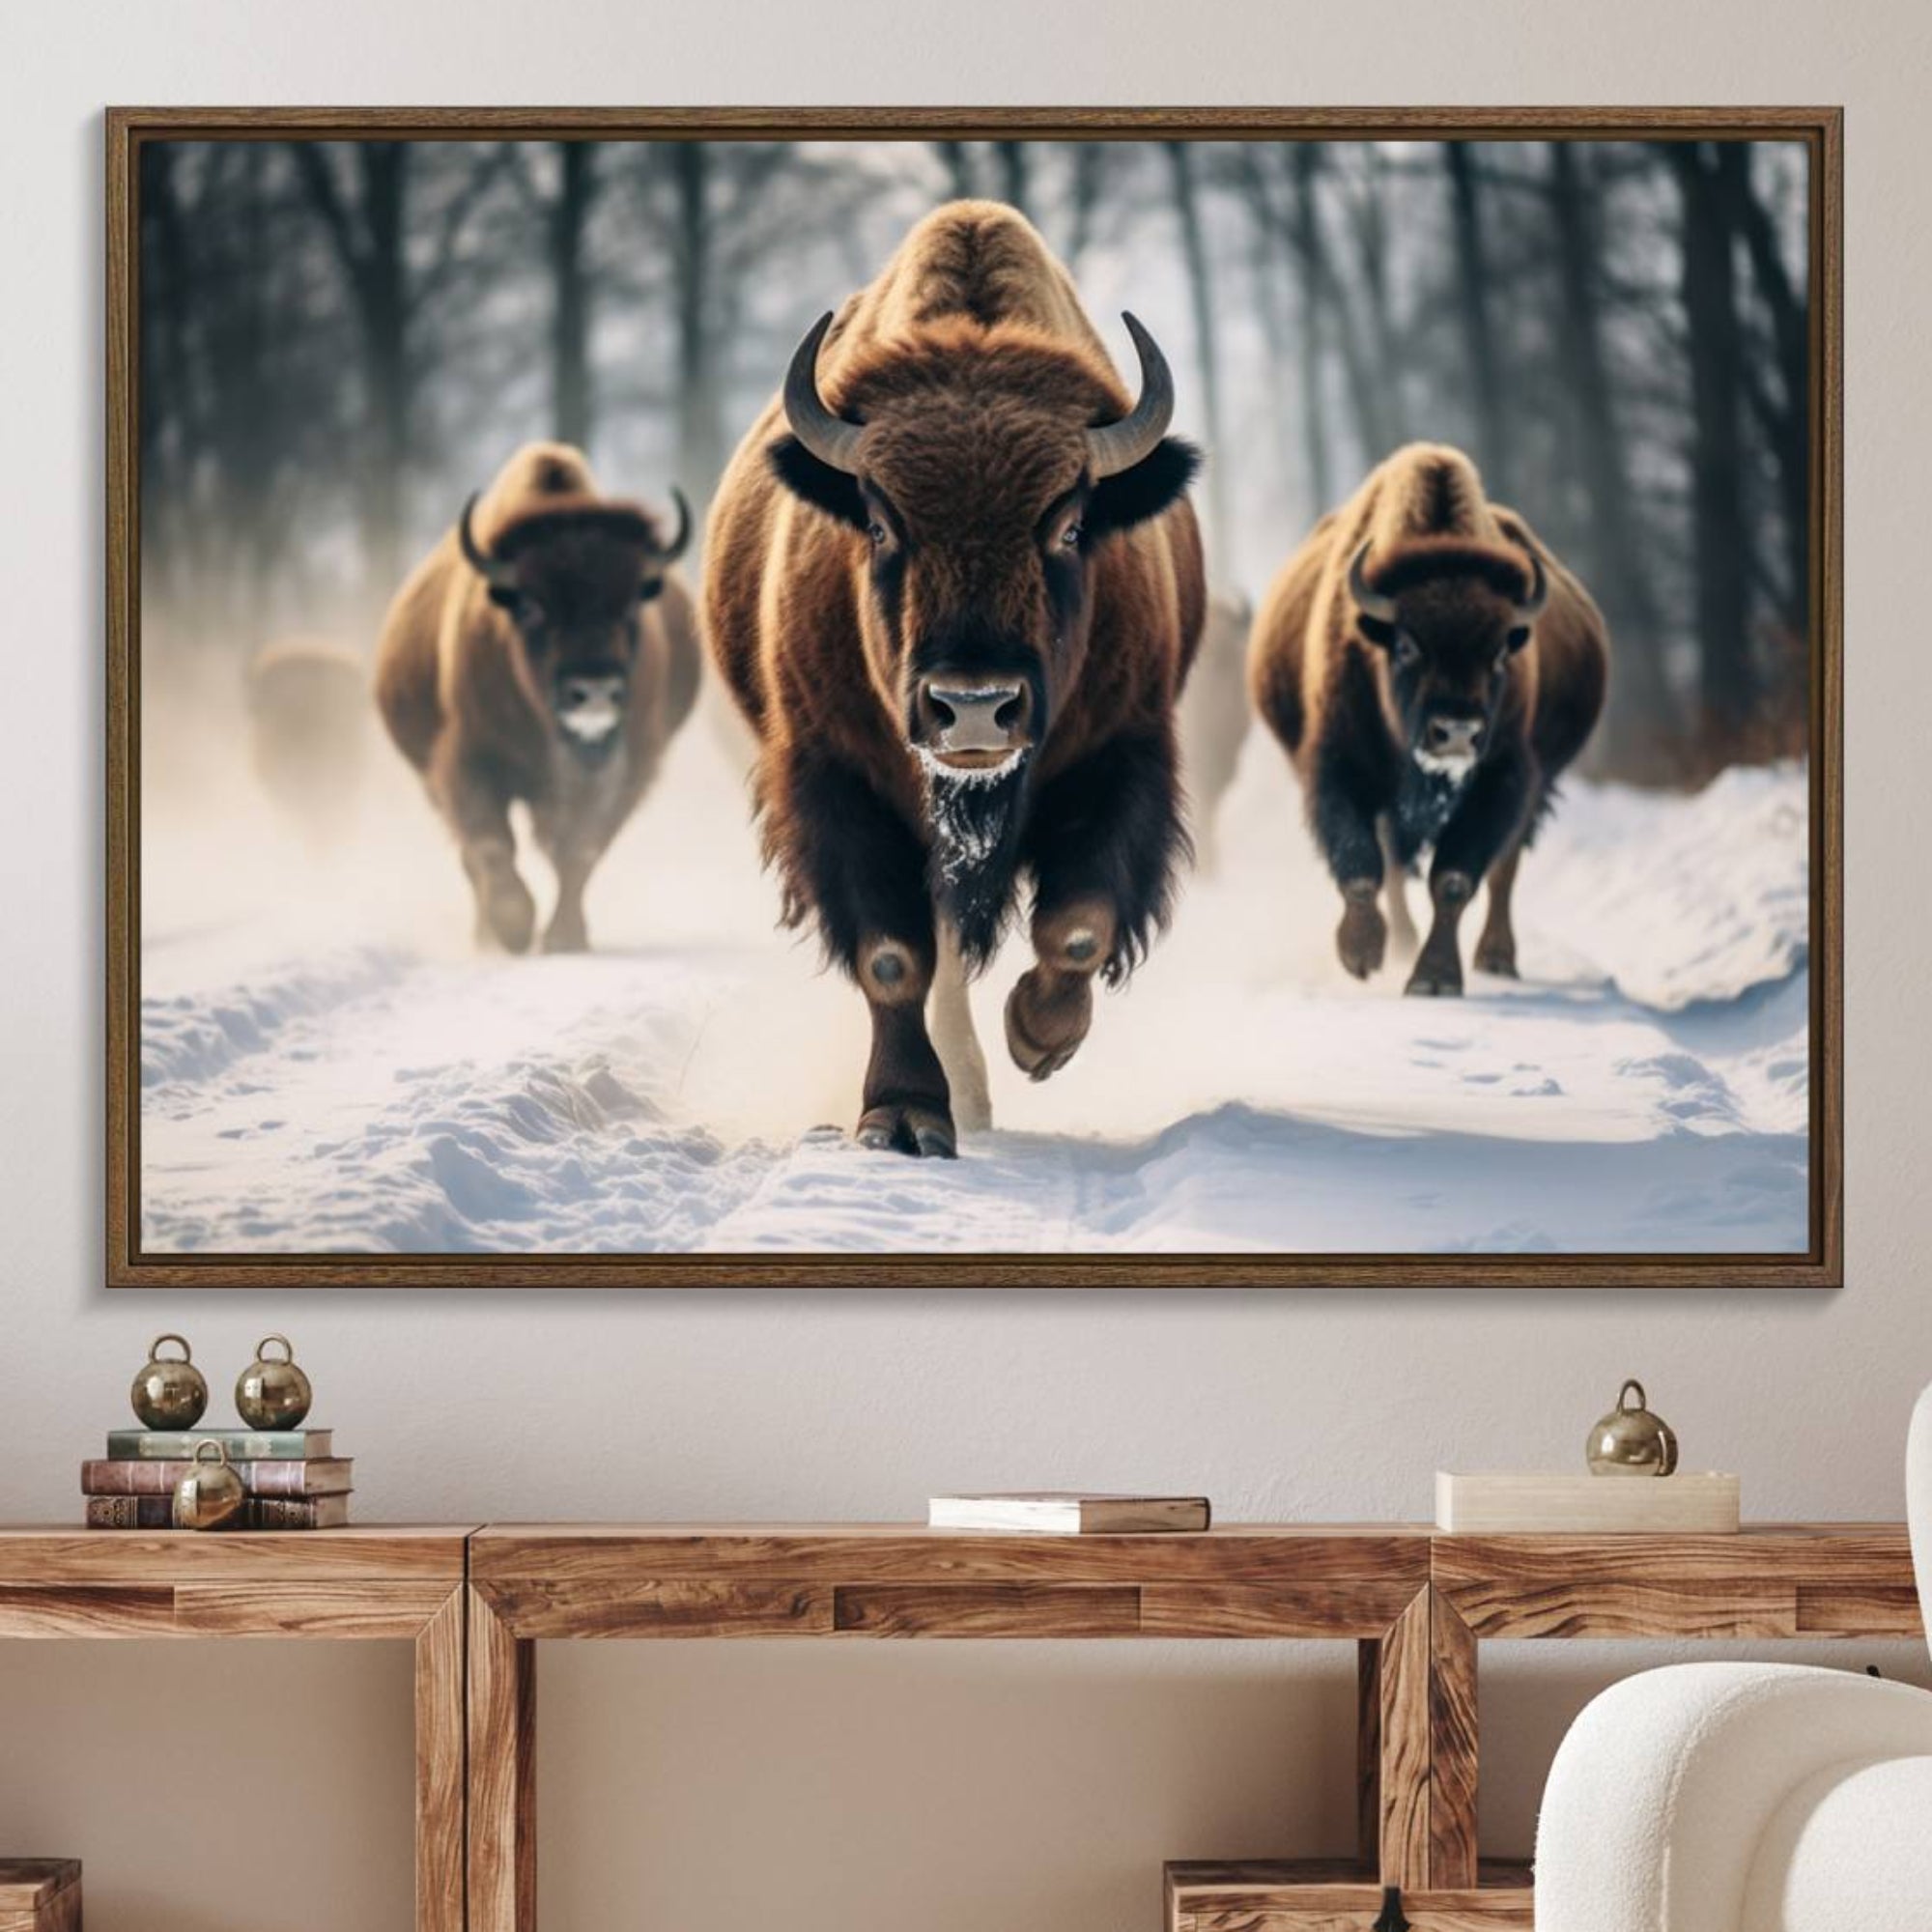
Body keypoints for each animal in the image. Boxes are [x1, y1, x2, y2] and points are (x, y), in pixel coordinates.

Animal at [375, 442, 699, 954]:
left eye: (631, 603)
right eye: (530, 605)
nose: (594, 691)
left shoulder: (627, 768)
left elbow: (580, 850)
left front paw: (565, 937)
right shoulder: (468, 759)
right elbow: (491, 843)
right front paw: (513, 928)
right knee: (472, 855)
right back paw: (486, 935)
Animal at [704, 200, 1206, 1157]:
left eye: (1071, 524)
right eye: (877, 521)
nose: (974, 708)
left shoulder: (1124, 754)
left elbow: (1078, 926)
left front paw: (1038, 1038)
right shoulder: (839, 777)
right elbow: (893, 957)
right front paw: (903, 1116)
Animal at [1248, 443, 1608, 995]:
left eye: (1500, 653)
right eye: (1406, 645)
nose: (1457, 732)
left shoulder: (1503, 778)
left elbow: (1455, 878)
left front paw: (1434, 979)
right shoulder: (1340, 767)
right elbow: (1361, 864)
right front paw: (1361, 954)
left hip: (1535, 787)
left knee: (1504, 869)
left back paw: (1496, 958)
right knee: (1396, 864)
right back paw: (1400, 942)